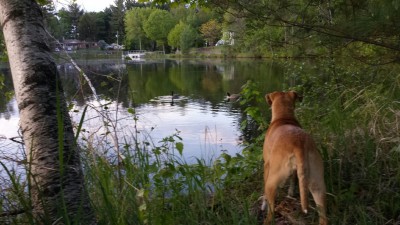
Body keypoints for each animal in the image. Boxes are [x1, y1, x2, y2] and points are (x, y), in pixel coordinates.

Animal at [260, 91, 326, 225]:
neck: (284, 118)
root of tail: (298, 145)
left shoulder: (266, 166)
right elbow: (293, 179)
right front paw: (290, 193)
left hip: (271, 182)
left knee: (271, 214)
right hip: (318, 184)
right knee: (323, 217)